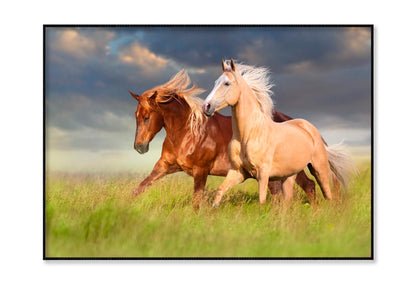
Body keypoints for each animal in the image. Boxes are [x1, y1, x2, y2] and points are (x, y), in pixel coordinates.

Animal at [128, 70, 316, 210]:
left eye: (146, 117)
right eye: (136, 115)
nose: (139, 147)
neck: (187, 133)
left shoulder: (201, 171)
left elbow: (196, 201)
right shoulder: (165, 166)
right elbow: (140, 188)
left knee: (307, 186)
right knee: (298, 189)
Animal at [202, 58, 354, 207]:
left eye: (227, 83)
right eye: (215, 82)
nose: (206, 106)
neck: (248, 135)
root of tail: (311, 129)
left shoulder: (263, 174)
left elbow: (262, 200)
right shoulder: (238, 172)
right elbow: (220, 191)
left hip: (319, 169)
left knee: (327, 194)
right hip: (289, 175)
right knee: (289, 199)